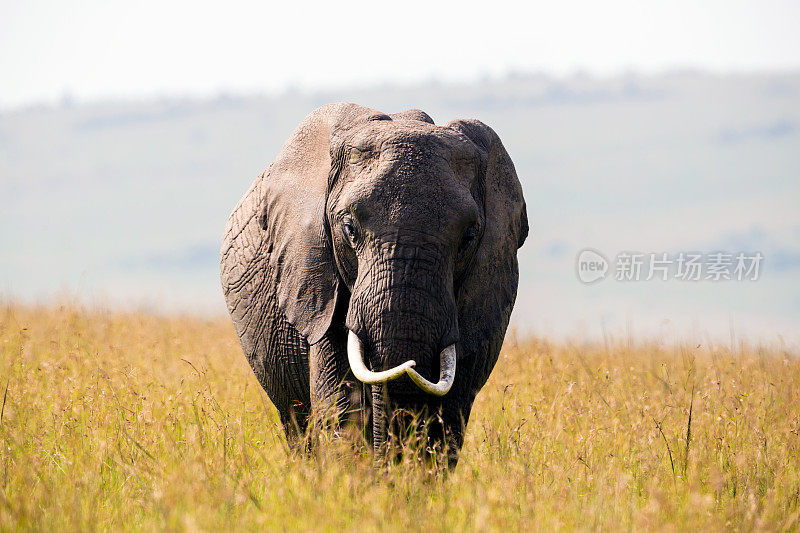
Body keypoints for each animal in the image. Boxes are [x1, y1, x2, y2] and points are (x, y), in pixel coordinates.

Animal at [222, 104, 528, 466]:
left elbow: (450, 416)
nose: (411, 365)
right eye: (350, 228)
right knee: (296, 422)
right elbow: (342, 407)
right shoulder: (318, 282)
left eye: (468, 237)